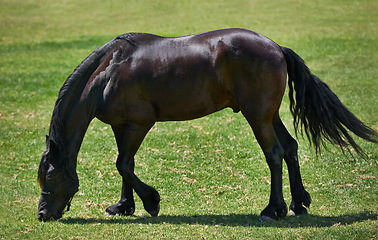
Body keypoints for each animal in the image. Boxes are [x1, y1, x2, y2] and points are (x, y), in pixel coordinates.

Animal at [37, 28, 376, 221]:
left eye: (50, 178)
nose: (42, 215)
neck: (109, 72)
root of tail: (276, 47)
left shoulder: (140, 124)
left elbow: (123, 165)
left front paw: (152, 201)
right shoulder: (122, 126)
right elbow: (125, 166)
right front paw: (123, 206)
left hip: (257, 116)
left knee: (275, 154)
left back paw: (273, 210)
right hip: (269, 115)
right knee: (290, 149)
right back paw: (297, 203)